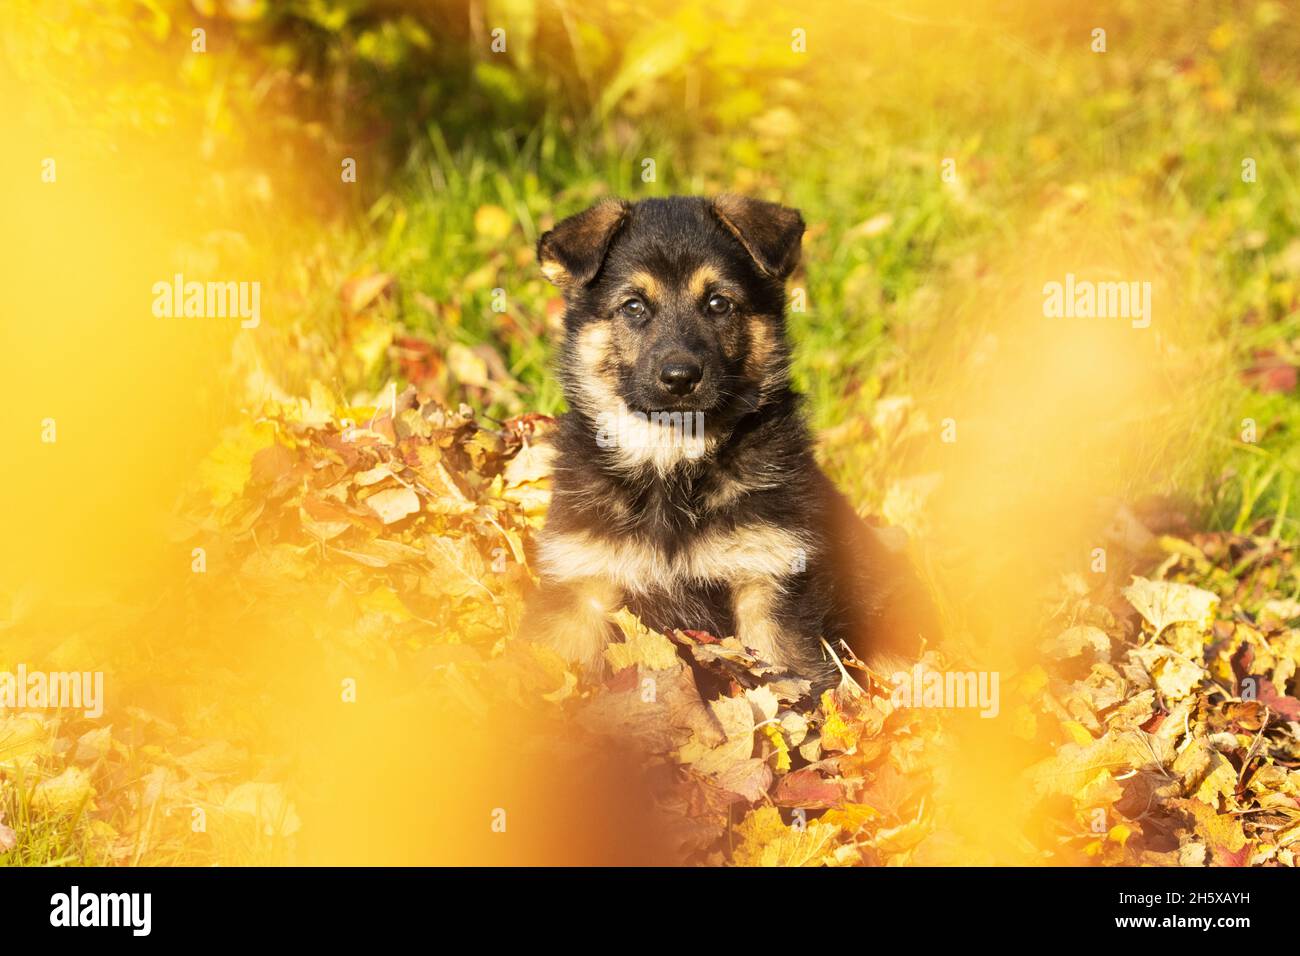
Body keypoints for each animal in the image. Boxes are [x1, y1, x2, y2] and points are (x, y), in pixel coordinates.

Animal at [522, 195, 941, 691]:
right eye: (634, 306)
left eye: (718, 303)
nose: (680, 377)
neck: (674, 464)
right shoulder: (581, 583)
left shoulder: (768, 582)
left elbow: (787, 683)